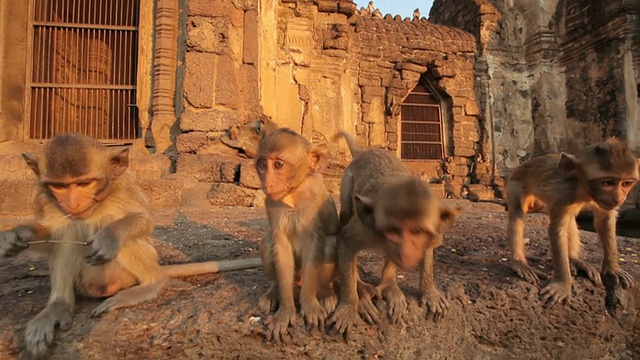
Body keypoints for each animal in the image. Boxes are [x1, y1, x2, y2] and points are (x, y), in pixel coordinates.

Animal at [0, 133, 262, 360]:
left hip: (126, 275)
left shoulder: (124, 185)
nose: (72, 203)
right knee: (68, 232)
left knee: (123, 238)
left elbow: (143, 220)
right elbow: (53, 234)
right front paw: (14, 237)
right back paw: (58, 306)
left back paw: (149, 283)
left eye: (84, 183)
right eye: (60, 186)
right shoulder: (45, 198)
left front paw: (109, 237)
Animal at [330, 131, 460, 336]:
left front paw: (429, 291)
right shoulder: (366, 229)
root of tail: (364, 152)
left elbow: (429, 246)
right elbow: (345, 242)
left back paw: (389, 284)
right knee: (346, 213)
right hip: (347, 182)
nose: (405, 252)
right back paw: (362, 291)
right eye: (392, 231)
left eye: (417, 231)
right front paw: (350, 304)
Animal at [508, 138, 636, 306]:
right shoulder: (564, 193)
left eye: (626, 183)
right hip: (515, 184)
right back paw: (520, 263)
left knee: (570, 219)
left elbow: (605, 219)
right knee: (517, 212)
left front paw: (613, 269)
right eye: (607, 183)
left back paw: (574, 259)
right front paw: (563, 284)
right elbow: (557, 230)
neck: (582, 187)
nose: (619, 198)